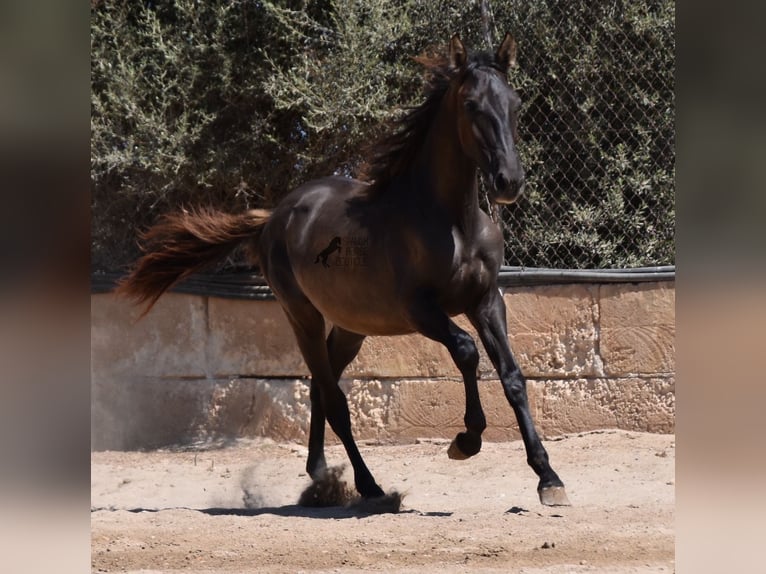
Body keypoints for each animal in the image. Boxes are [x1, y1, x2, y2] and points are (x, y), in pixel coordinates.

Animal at [118, 33, 568, 508]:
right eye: (471, 104)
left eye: (515, 103)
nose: (509, 182)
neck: (452, 223)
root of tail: (273, 217)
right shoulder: (420, 310)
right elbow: (466, 351)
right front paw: (466, 440)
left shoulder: (486, 301)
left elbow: (513, 377)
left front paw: (548, 478)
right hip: (303, 317)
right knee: (333, 398)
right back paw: (366, 486)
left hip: (352, 327)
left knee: (322, 386)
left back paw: (319, 474)